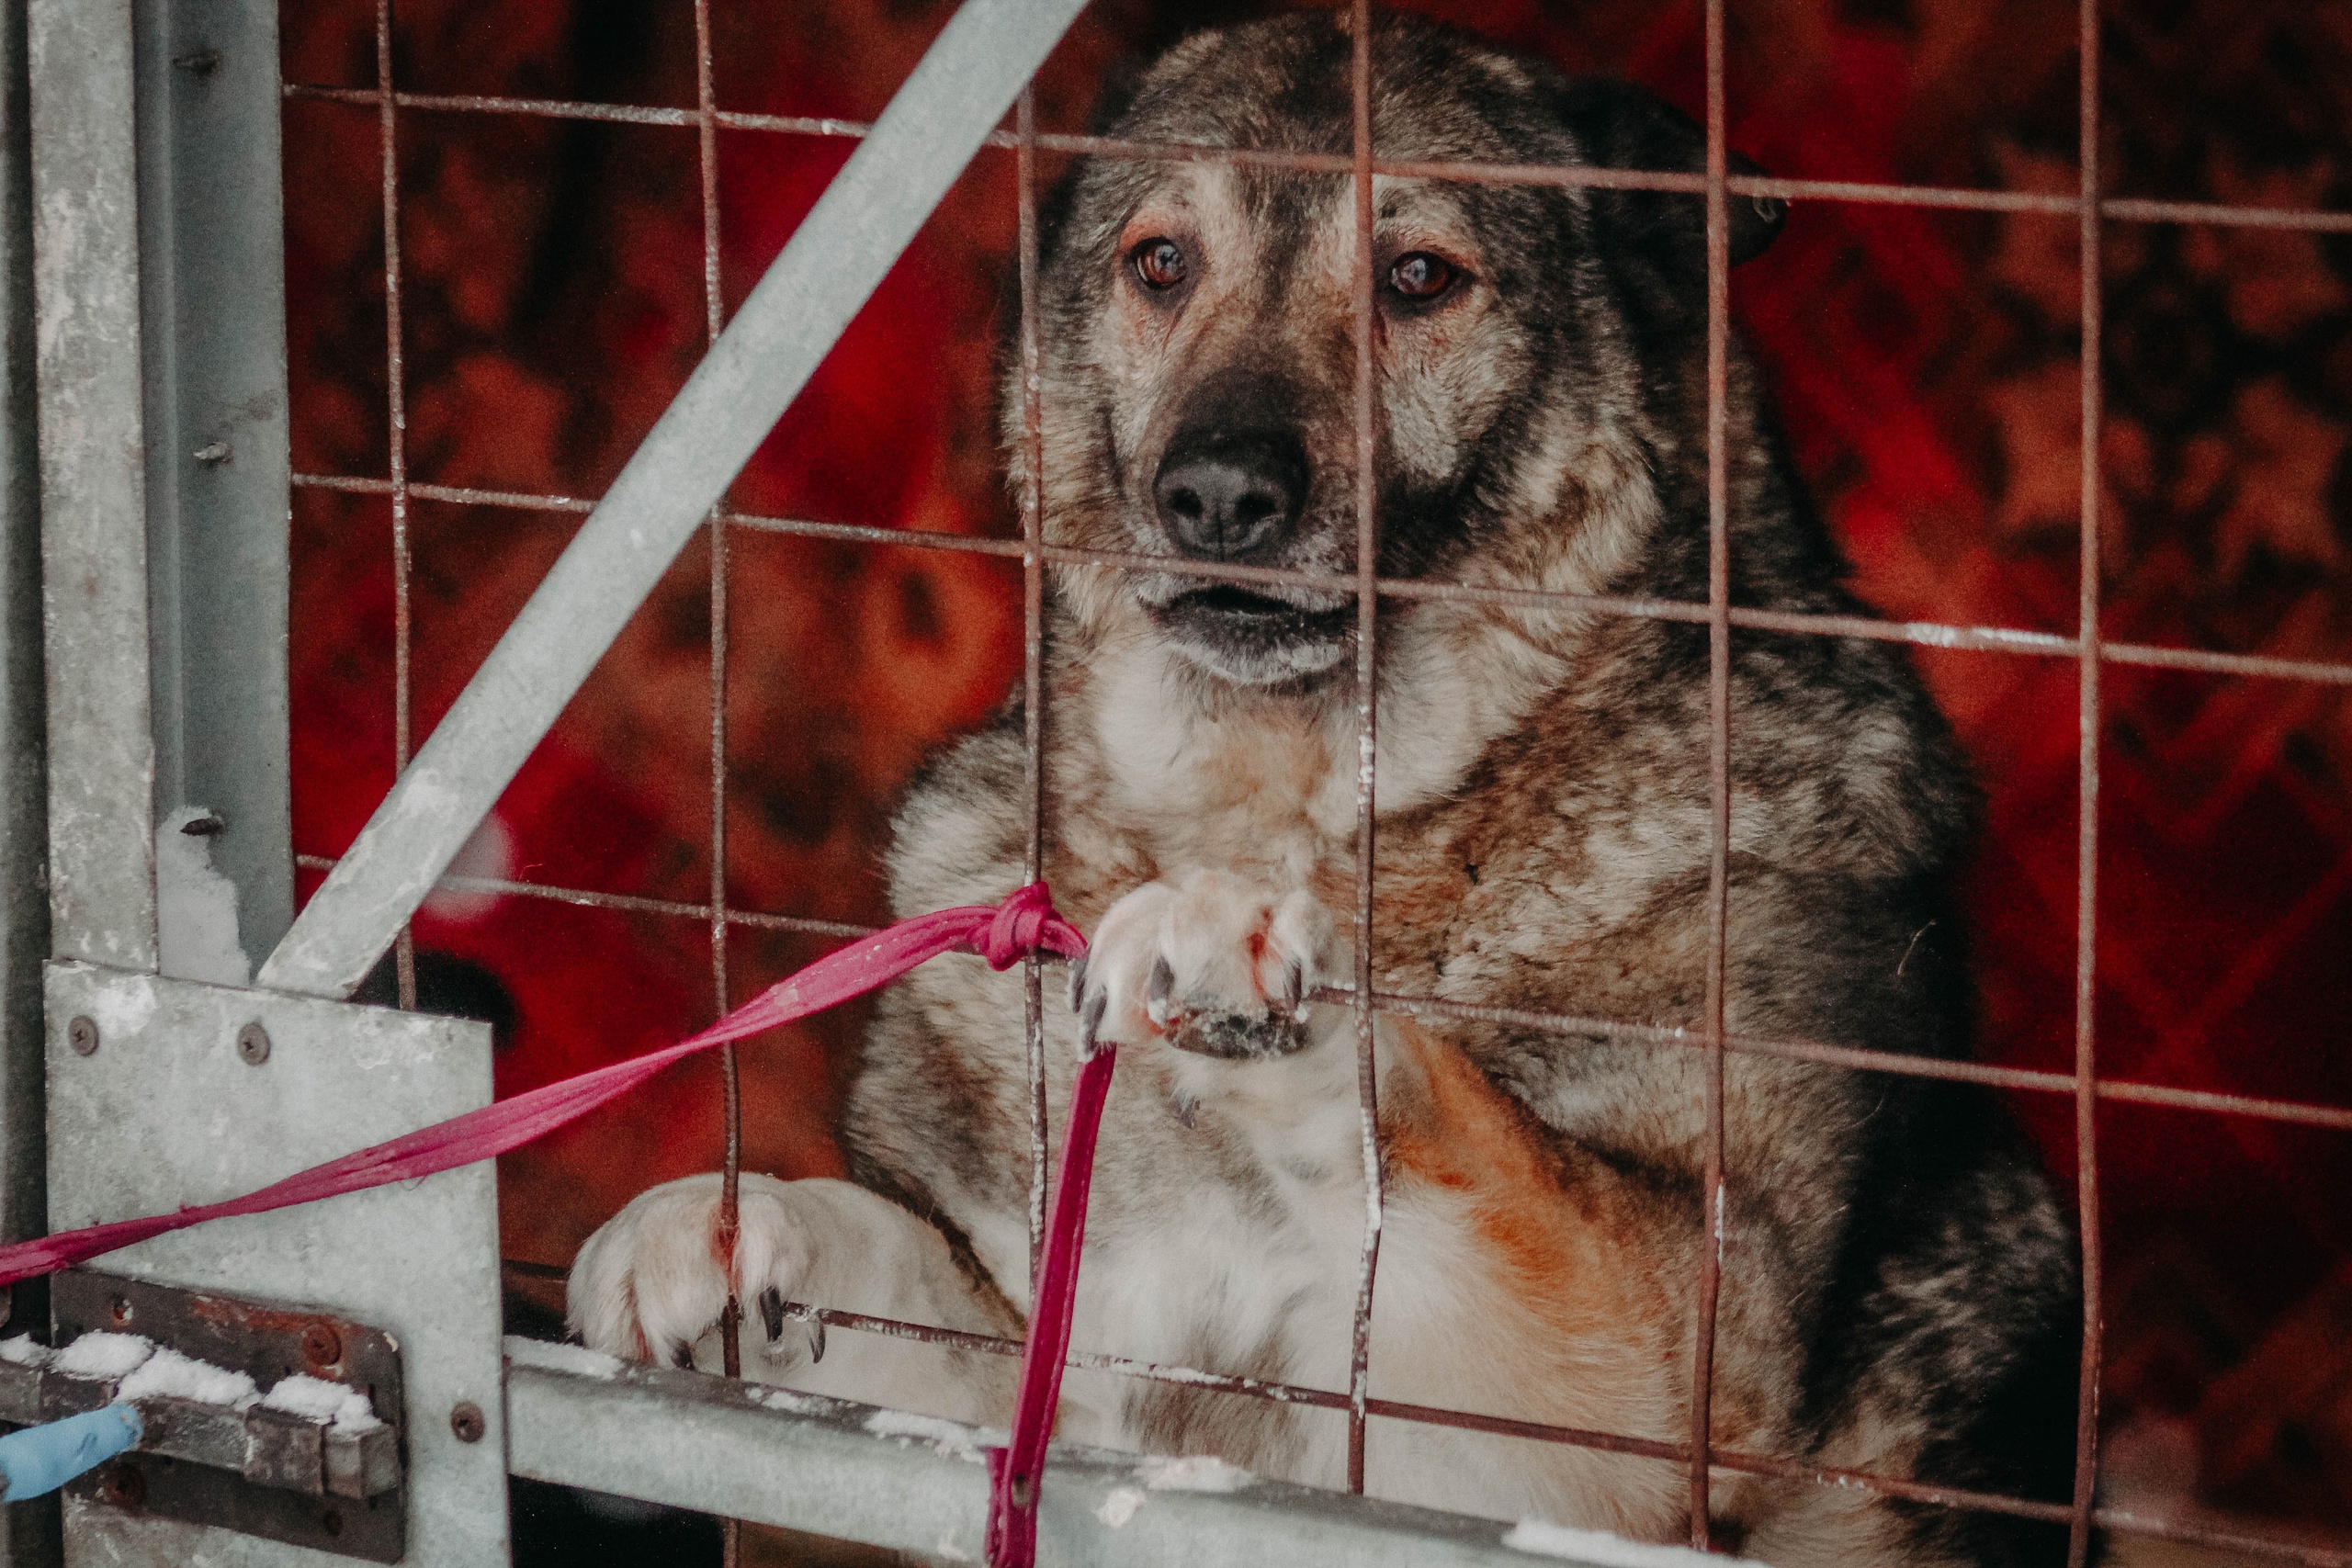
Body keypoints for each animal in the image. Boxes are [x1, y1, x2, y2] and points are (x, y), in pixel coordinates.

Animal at [569, 15, 2079, 1568]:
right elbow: (914, 1305)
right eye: (1160, 264)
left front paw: (1255, 963)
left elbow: (1485, 1140)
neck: (1297, 805)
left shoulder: (1636, 1397)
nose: (1218, 496)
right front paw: (732, 1221)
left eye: (1419, 277)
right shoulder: (1051, 1393)